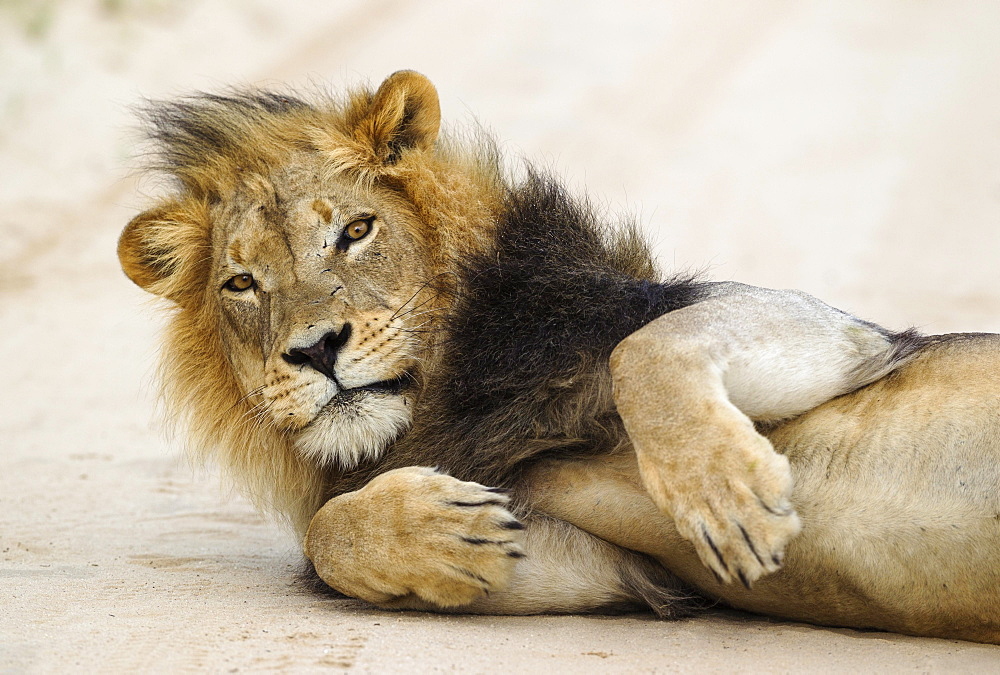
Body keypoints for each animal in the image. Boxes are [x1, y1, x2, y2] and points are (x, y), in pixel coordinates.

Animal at [119, 70, 1000, 644]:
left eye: (355, 231)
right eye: (241, 282)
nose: (314, 348)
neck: (450, 394)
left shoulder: (844, 337)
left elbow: (645, 350)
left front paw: (731, 498)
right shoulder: (615, 568)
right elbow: (325, 535)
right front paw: (445, 534)